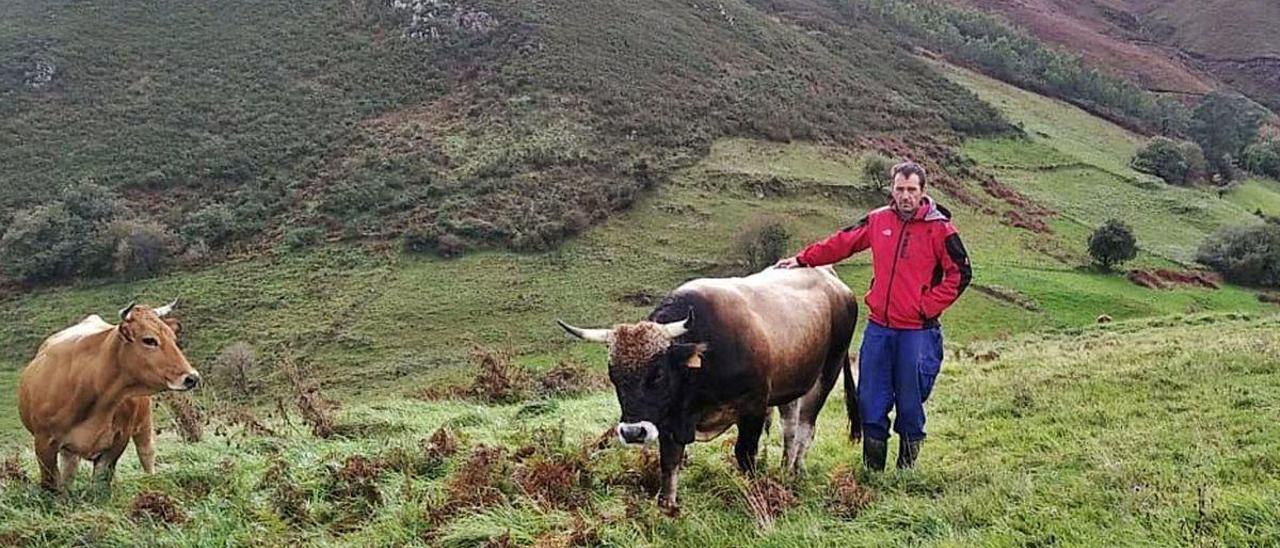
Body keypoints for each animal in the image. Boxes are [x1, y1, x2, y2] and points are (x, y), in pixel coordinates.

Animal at [18, 302, 199, 489]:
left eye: (173, 338)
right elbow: (52, 483)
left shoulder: (119, 439)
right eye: (149, 340)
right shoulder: (44, 442)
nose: (192, 377)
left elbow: (101, 481)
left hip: (144, 423)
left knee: (147, 453)